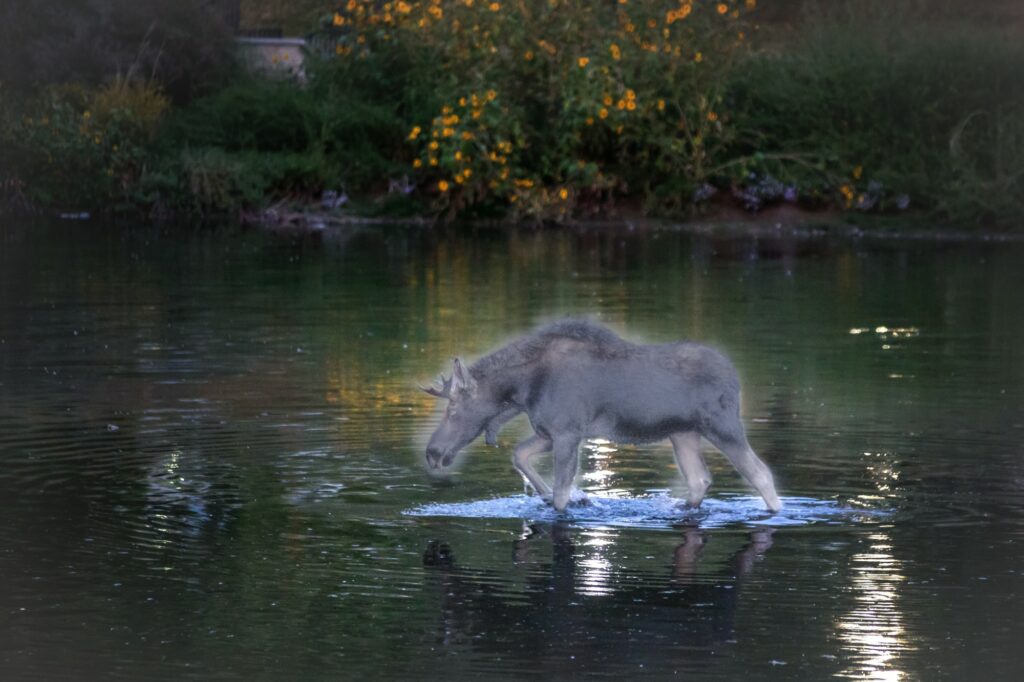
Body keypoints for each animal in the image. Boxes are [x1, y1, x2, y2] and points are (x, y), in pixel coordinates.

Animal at [419, 319, 778, 509]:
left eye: (453, 409)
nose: (432, 452)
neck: (521, 391)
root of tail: (735, 377)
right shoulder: (548, 432)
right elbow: (520, 456)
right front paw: (551, 495)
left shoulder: (567, 432)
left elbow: (561, 492)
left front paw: (562, 499)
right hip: (683, 433)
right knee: (699, 479)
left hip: (723, 426)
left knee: (761, 474)